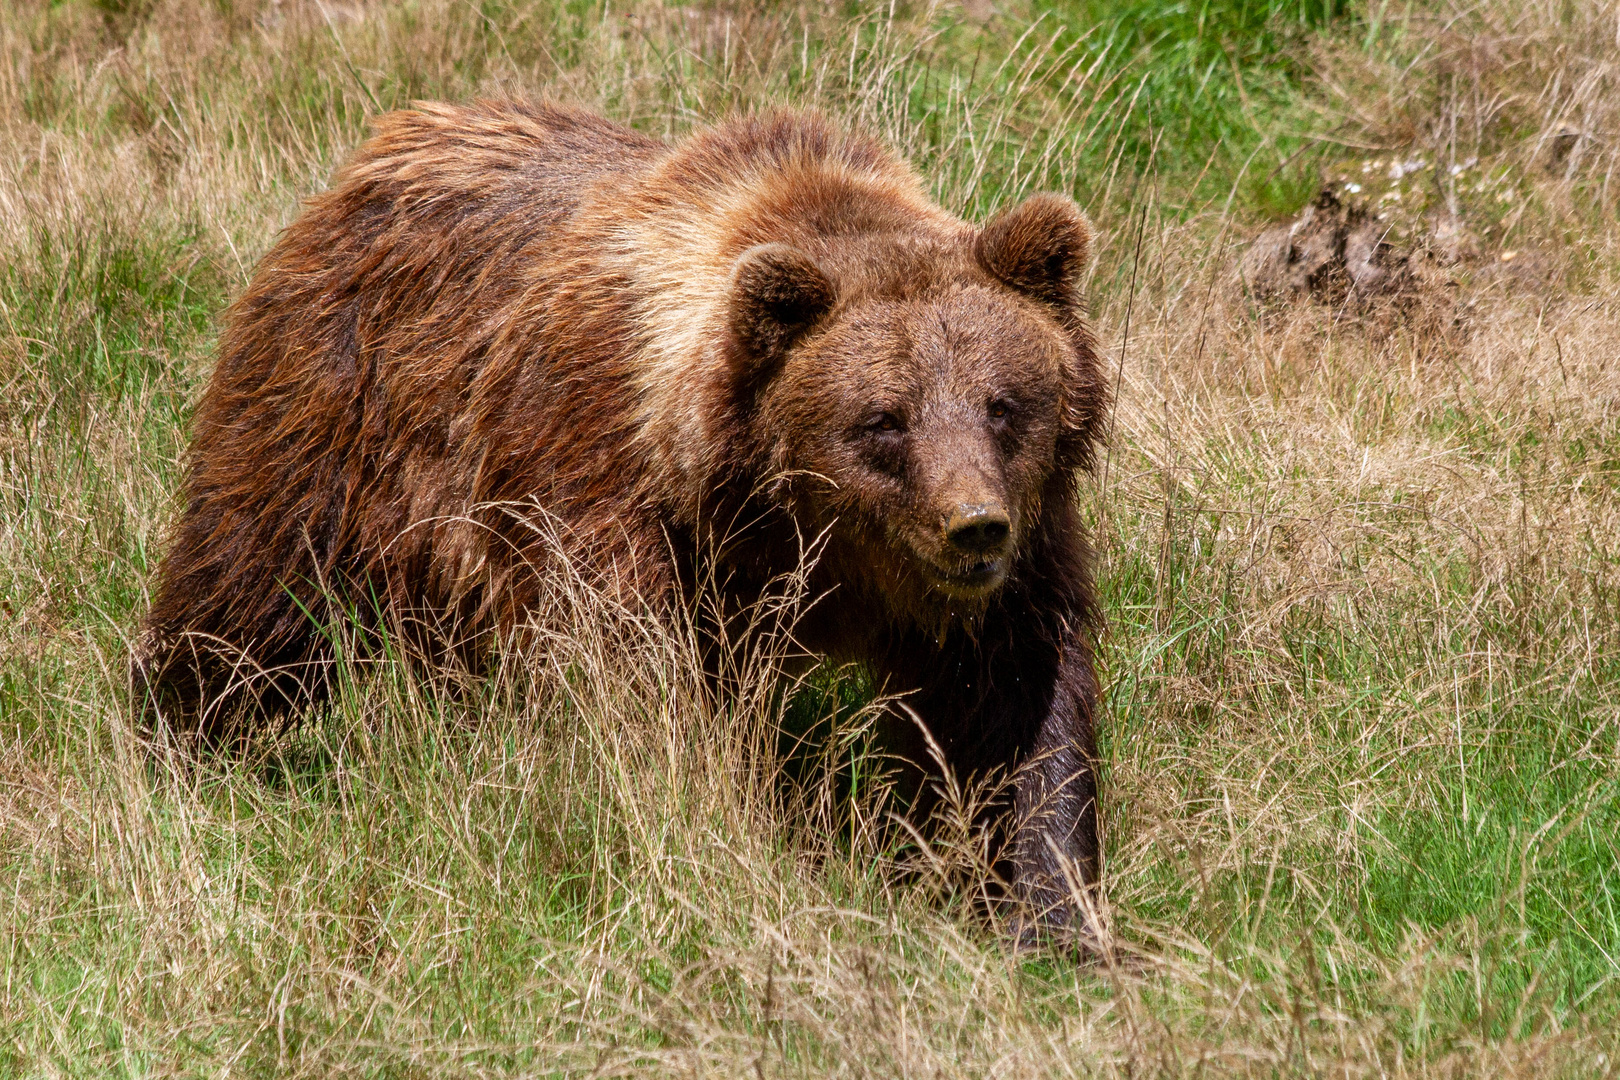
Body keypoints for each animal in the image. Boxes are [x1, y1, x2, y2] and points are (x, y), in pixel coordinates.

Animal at [136, 101, 1114, 945]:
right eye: (884, 419)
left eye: (1004, 404)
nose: (973, 526)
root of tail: (386, 146)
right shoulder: (601, 487)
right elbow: (636, 695)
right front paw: (717, 840)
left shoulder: (1014, 565)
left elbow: (1011, 717)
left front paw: (1049, 914)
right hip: (333, 407)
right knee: (250, 593)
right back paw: (187, 743)